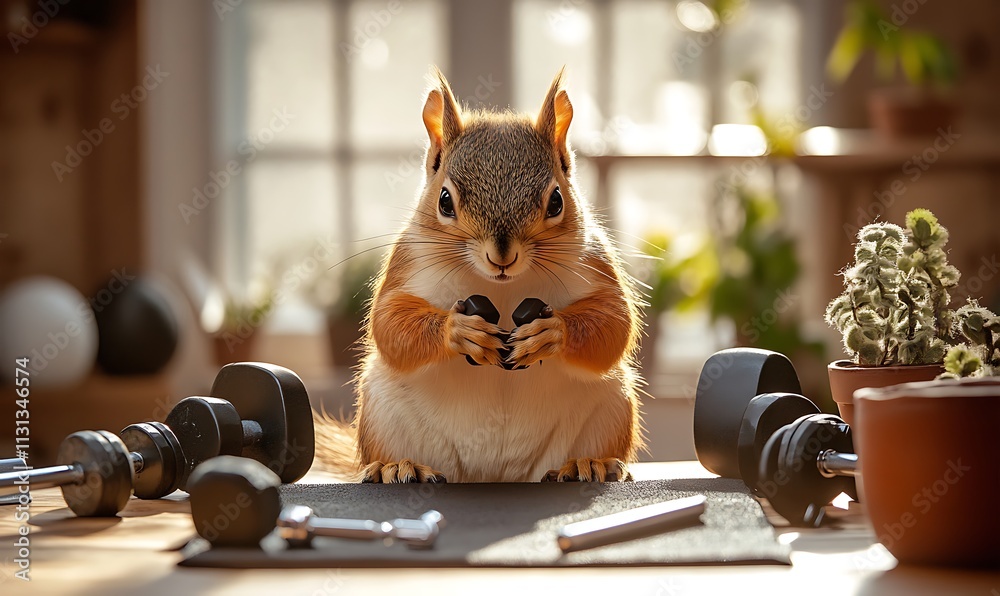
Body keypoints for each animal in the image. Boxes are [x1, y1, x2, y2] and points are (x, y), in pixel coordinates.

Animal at [315, 68, 644, 483]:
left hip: (611, 406)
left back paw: (589, 463)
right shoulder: (405, 263)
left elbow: (614, 322)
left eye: (556, 201)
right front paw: (458, 330)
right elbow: (390, 322)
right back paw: (399, 466)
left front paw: (551, 333)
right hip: (381, 410)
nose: (501, 256)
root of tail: (493, 474)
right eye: (444, 201)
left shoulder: (594, 261)